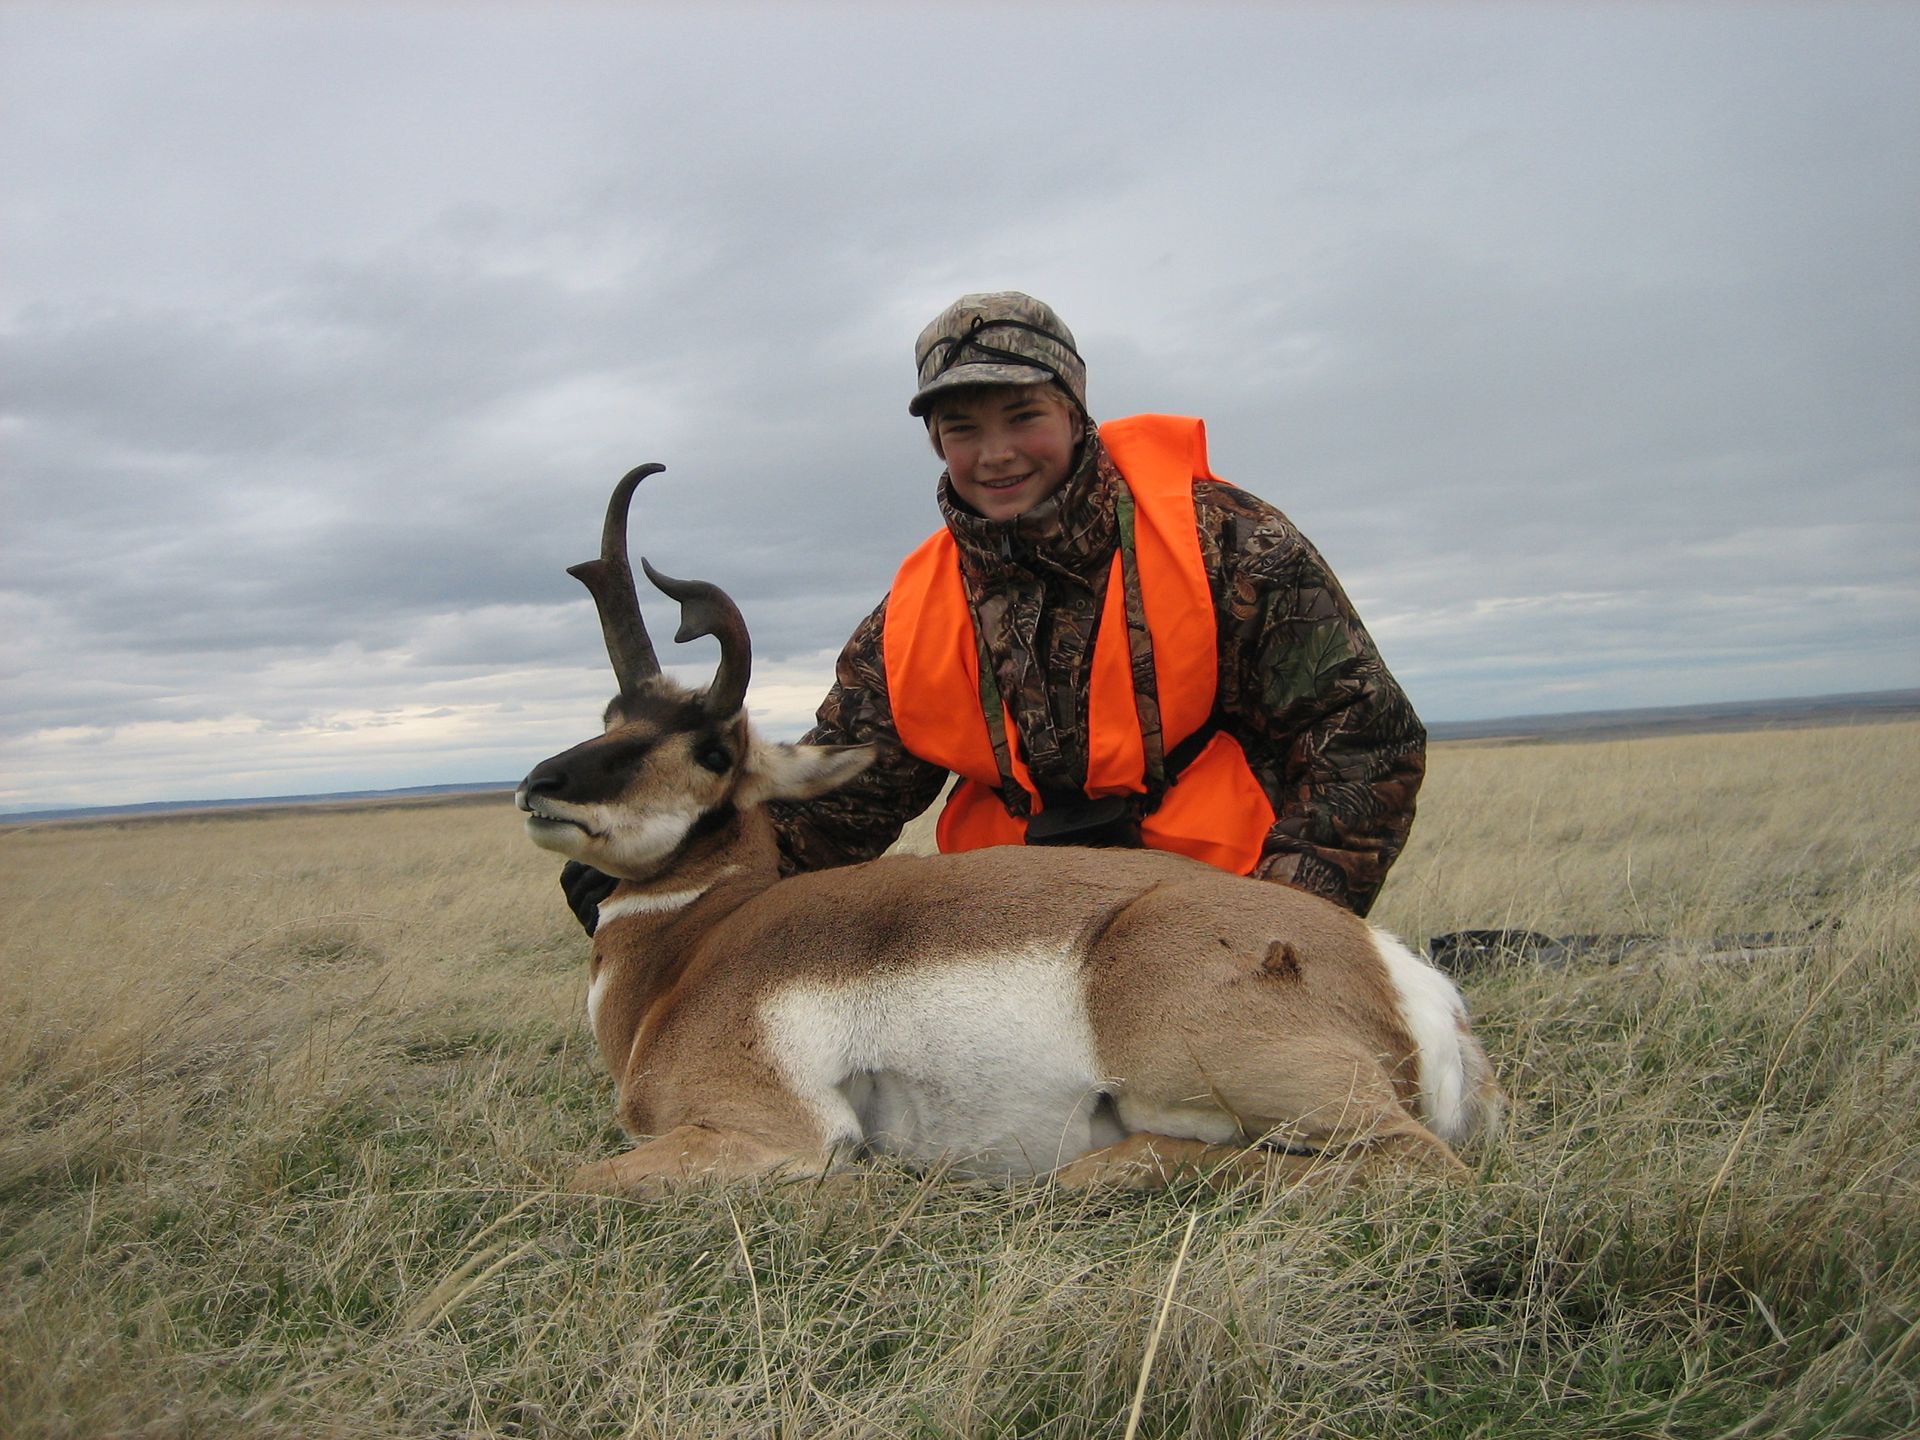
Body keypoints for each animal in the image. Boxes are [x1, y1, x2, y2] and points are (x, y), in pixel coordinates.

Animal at [517, 465, 1503, 1193]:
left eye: (715, 750)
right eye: (611, 716)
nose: (537, 785)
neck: (692, 953)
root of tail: (1400, 975)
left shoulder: (773, 1131)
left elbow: (572, 1180)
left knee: (1407, 1165)